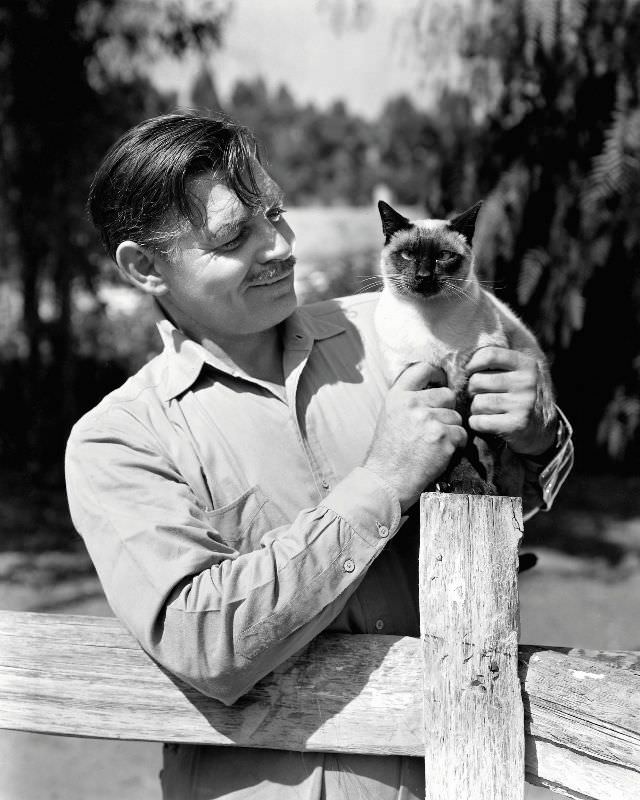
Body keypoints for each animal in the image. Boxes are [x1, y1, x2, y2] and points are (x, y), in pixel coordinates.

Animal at [376, 199, 556, 496]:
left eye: (443, 256)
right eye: (408, 255)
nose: (424, 276)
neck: (430, 319)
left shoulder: (472, 388)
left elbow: (473, 445)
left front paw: (471, 486)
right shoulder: (425, 384)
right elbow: (451, 448)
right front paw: (446, 483)